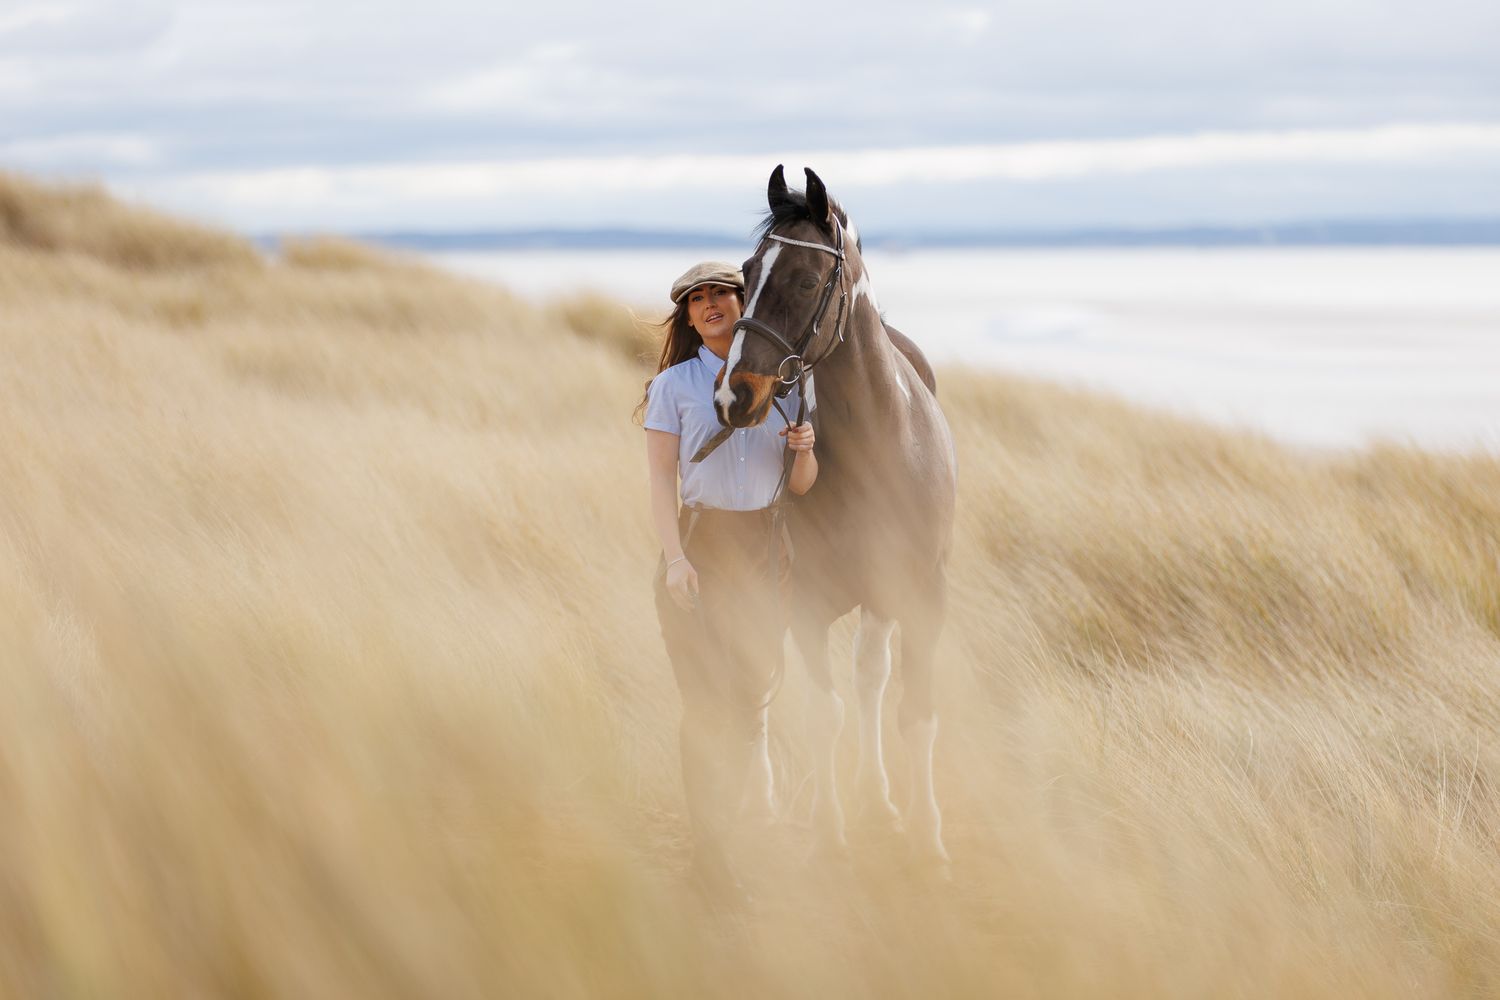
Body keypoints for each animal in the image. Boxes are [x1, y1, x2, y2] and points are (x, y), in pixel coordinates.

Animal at [713, 165, 957, 867]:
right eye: (746, 272)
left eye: (803, 279)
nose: (733, 396)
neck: (881, 448)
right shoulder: (806, 599)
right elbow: (824, 712)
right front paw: (828, 829)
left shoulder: (921, 594)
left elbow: (914, 713)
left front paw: (926, 836)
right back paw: (763, 798)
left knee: (869, 679)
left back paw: (877, 798)